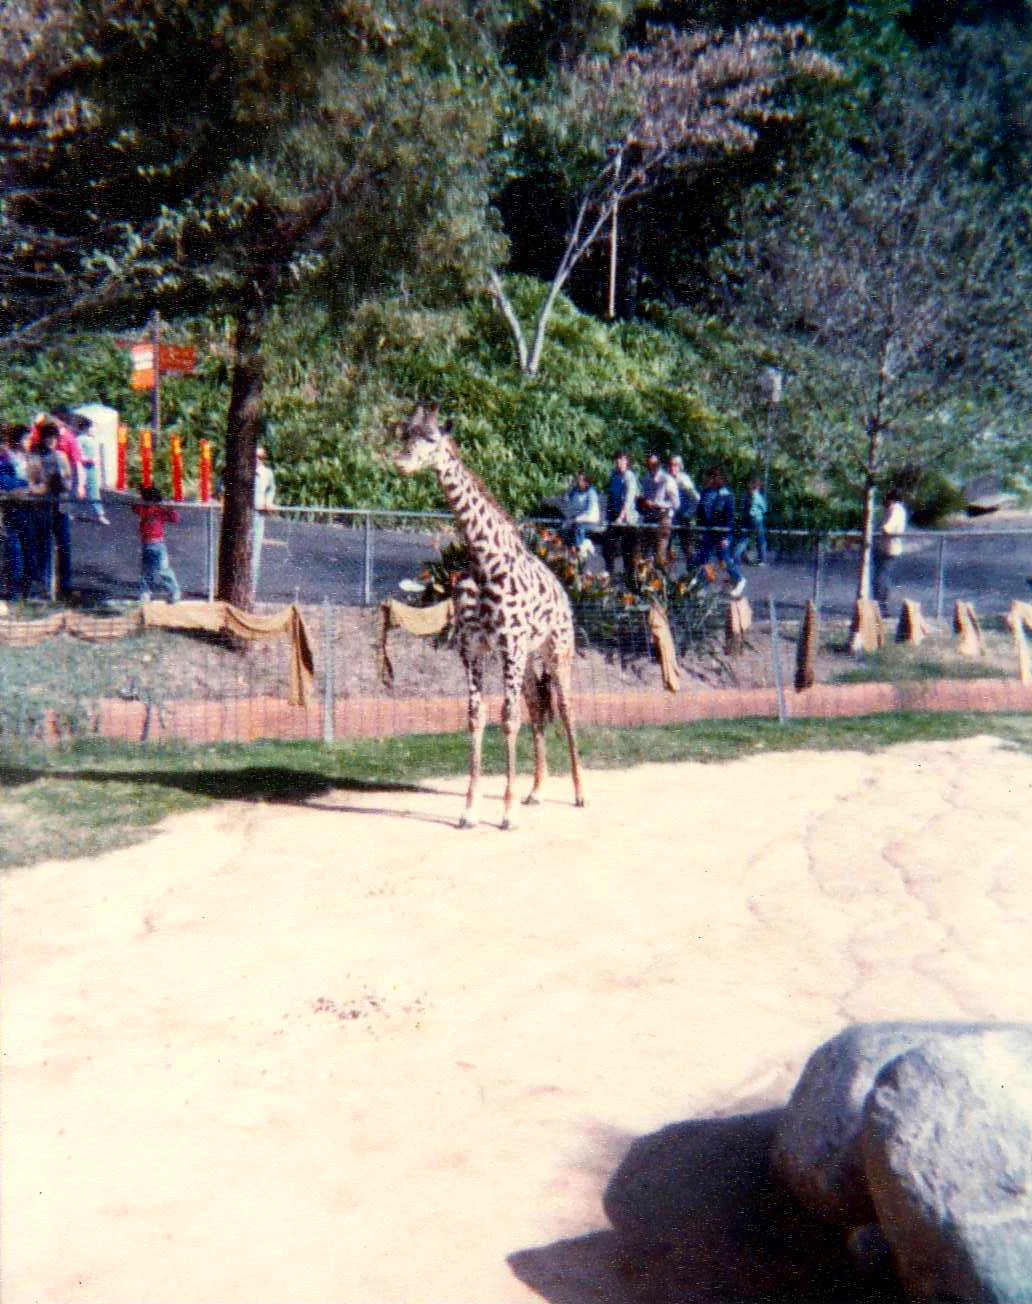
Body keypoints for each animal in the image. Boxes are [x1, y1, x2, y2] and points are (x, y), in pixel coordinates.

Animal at [395, 404, 586, 829]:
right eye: (404, 433)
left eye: (431, 438)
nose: (401, 462)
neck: (484, 561)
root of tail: (563, 593)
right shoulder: (473, 647)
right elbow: (477, 716)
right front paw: (469, 810)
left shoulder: (509, 645)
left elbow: (508, 717)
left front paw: (507, 812)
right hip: (529, 659)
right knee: (538, 708)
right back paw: (537, 791)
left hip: (556, 651)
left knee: (565, 711)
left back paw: (580, 793)